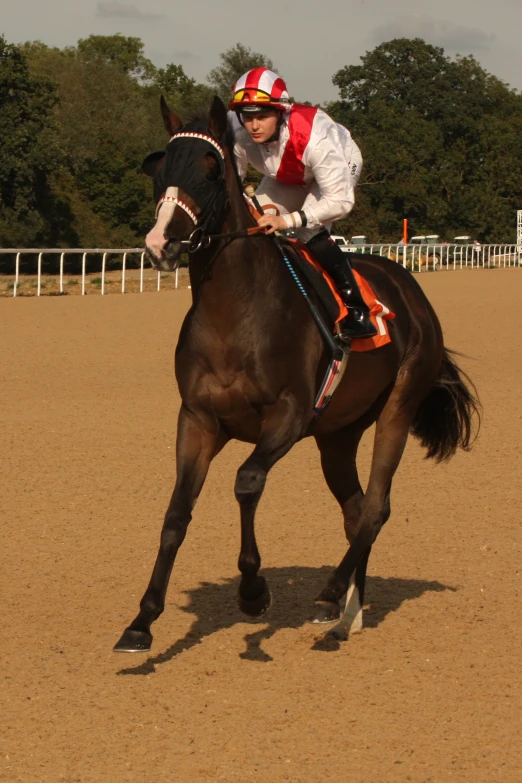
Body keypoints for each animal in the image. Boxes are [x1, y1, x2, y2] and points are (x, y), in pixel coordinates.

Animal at [112, 95, 476, 652]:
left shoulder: (288, 415)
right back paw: (348, 614)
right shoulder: (197, 420)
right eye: (160, 169)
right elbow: (176, 514)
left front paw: (253, 590)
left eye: (211, 169)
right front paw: (142, 619)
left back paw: (329, 596)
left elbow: (246, 482)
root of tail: (411, 289)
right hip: (338, 435)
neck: (234, 312)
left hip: (399, 404)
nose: (161, 244)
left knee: (376, 506)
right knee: (356, 510)